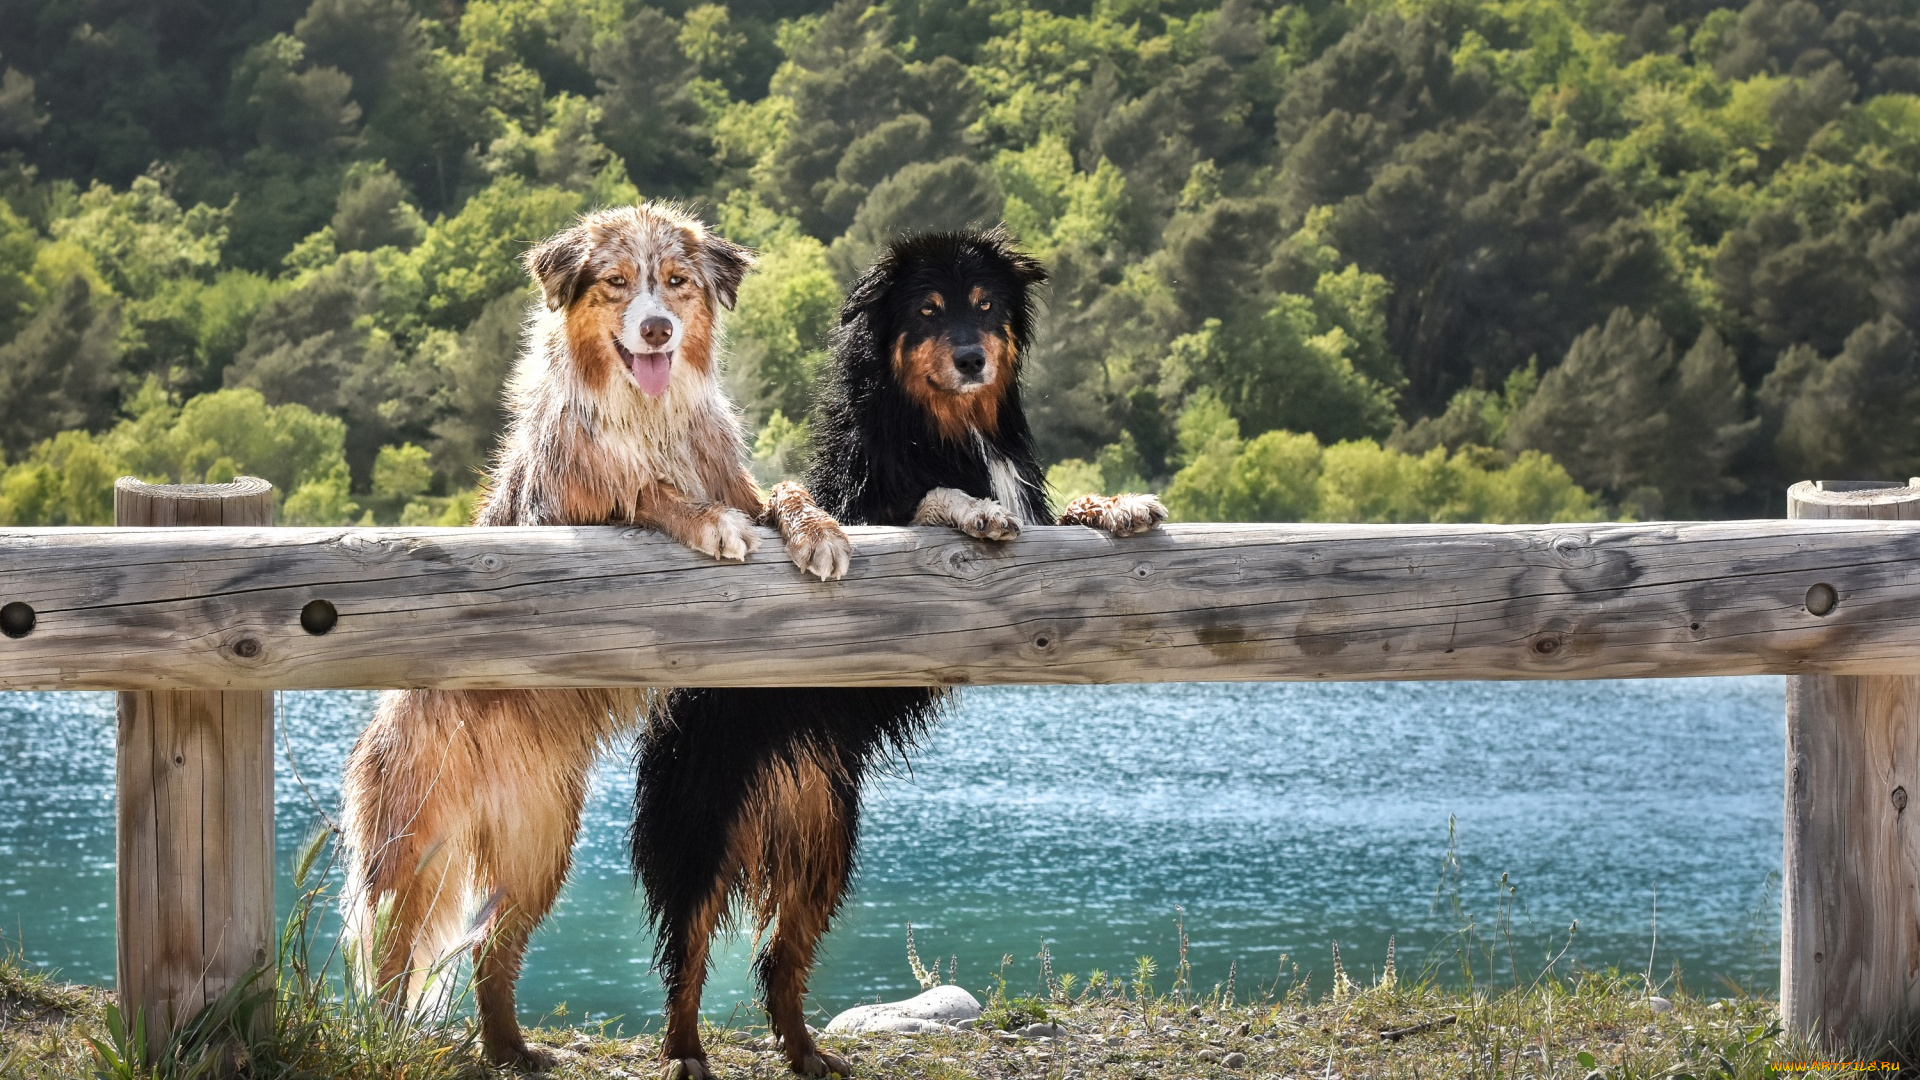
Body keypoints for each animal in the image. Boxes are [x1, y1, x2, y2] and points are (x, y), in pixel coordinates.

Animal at [343, 203, 848, 1068]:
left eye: (676, 282)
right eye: (616, 283)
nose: (656, 329)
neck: (647, 413)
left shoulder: (738, 479)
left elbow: (782, 492)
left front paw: (818, 531)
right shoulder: (574, 513)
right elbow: (644, 491)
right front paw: (705, 521)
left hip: (540, 850)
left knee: (491, 952)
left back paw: (511, 1050)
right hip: (414, 851)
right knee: (393, 958)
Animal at [637, 222, 1159, 1068]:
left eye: (986, 306)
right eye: (929, 310)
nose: (973, 357)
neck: (949, 427)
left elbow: (1073, 512)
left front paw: (1121, 504)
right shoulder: (870, 510)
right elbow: (928, 502)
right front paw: (973, 510)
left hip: (823, 845)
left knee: (778, 958)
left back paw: (807, 1055)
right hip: (704, 827)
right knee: (687, 952)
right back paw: (685, 1052)